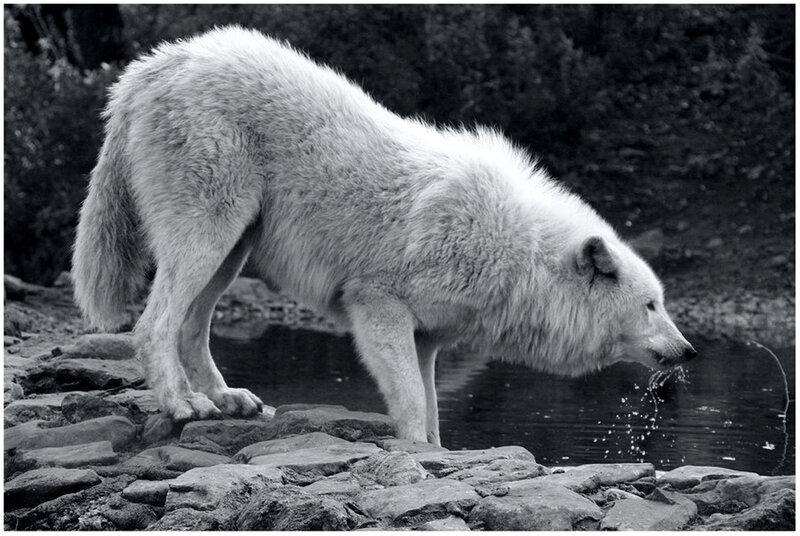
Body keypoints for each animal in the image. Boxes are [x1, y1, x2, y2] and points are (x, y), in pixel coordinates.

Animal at [72, 27, 696, 445]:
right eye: (650, 305)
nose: (690, 350)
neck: (517, 253)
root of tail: (155, 63)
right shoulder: (378, 306)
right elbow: (414, 405)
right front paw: (418, 453)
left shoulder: (427, 338)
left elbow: (431, 408)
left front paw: (439, 454)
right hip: (209, 235)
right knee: (153, 325)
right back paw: (184, 406)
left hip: (232, 249)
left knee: (190, 328)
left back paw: (227, 400)